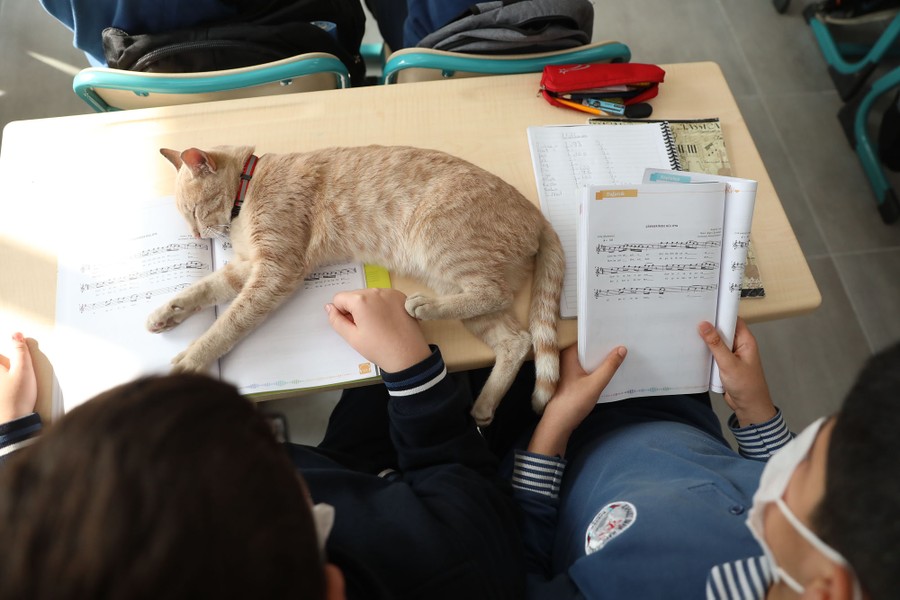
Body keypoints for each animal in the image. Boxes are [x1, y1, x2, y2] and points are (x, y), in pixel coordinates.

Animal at [154, 145, 564, 424]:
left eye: (193, 212)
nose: (195, 235)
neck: (249, 183)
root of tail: (537, 214)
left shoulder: (275, 270)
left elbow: (229, 323)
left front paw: (192, 358)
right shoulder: (246, 268)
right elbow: (205, 288)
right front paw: (166, 312)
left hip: (442, 247)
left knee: (496, 295)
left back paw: (423, 306)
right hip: (454, 282)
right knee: (516, 339)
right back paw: (484, 405)